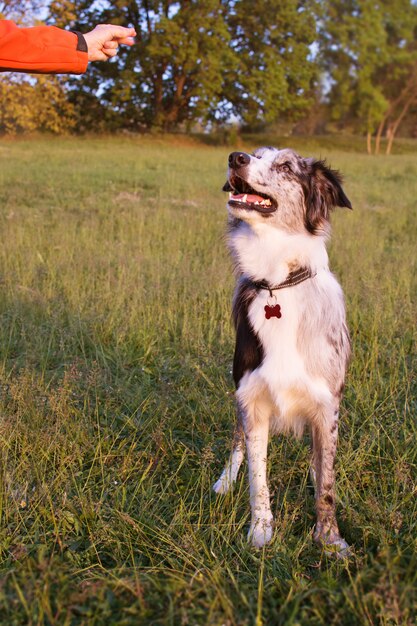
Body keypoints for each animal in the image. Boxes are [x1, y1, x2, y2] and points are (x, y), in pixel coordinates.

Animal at [211, 147, 352, 556]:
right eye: (256, 155)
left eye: (287, 166)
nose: (236, 156)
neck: (279, 282)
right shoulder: (251, 398)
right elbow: (257, 478)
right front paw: (260, 531)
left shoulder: (326, 405)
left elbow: (326, 486)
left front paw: (329, 539)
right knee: (236, 439)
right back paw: (225, 480)